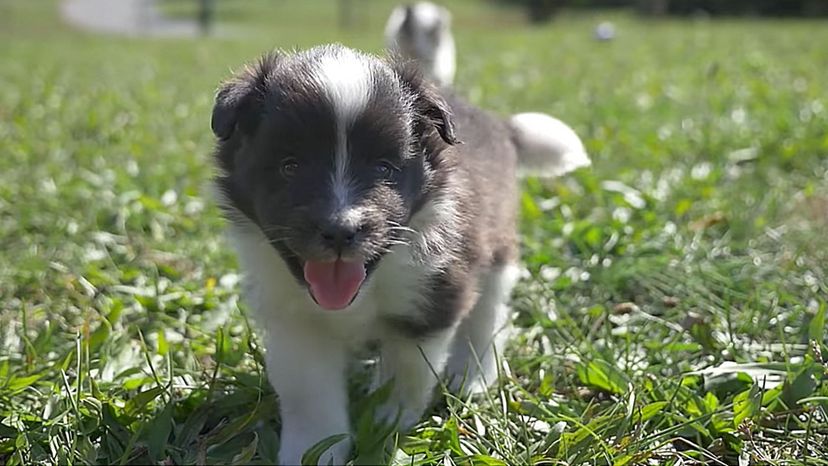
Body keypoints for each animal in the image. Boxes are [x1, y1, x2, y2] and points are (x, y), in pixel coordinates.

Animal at [210, 44, 592, 466]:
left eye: (384, 168)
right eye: (290, 167)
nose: (341, 229)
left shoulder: (433, 294)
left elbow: (408, 369)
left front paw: (387, 424)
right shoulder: (295, 320)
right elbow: (308, 392)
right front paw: (315, 450)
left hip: (497, 243)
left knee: (488, 311)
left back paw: (472, 375)